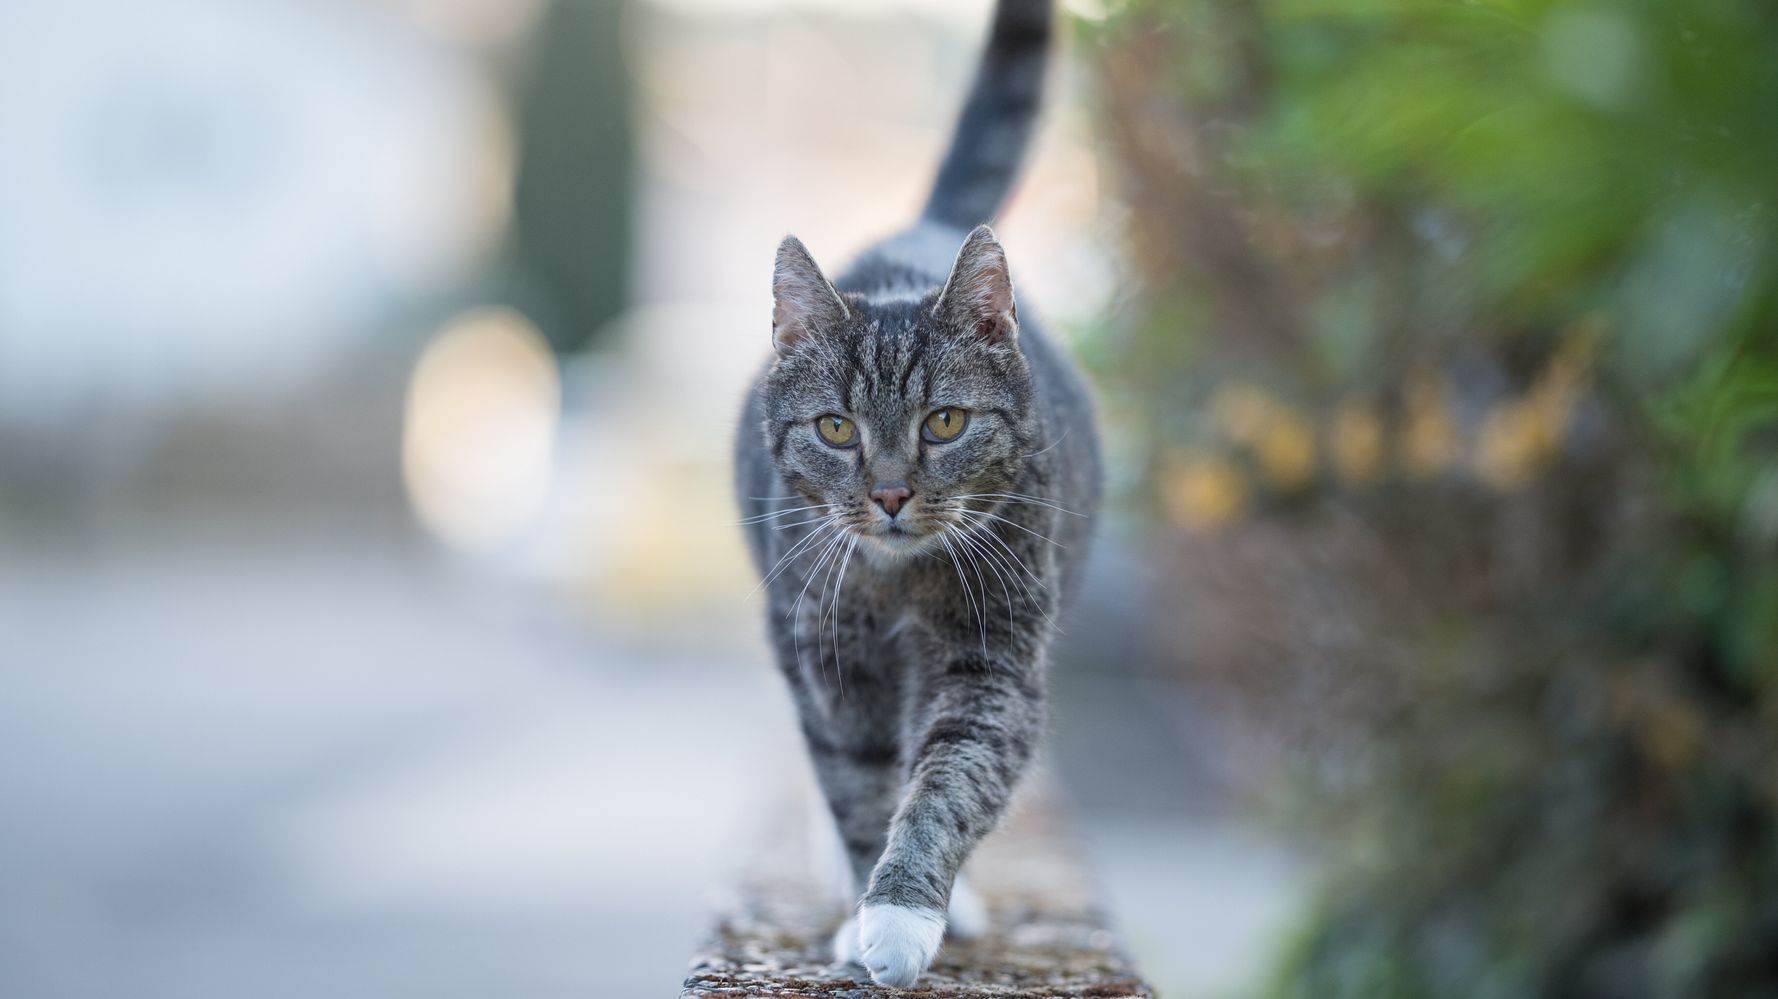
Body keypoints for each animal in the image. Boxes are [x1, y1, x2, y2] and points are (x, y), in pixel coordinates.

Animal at [725, 0, 1095, 981]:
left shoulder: (992, 657)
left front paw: (902, 912)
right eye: (835, 429)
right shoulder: (828, 654)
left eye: (944, 422)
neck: (898, 584)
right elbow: (857, 782)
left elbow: (948, 779)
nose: (890, 495)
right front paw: (865, 912)